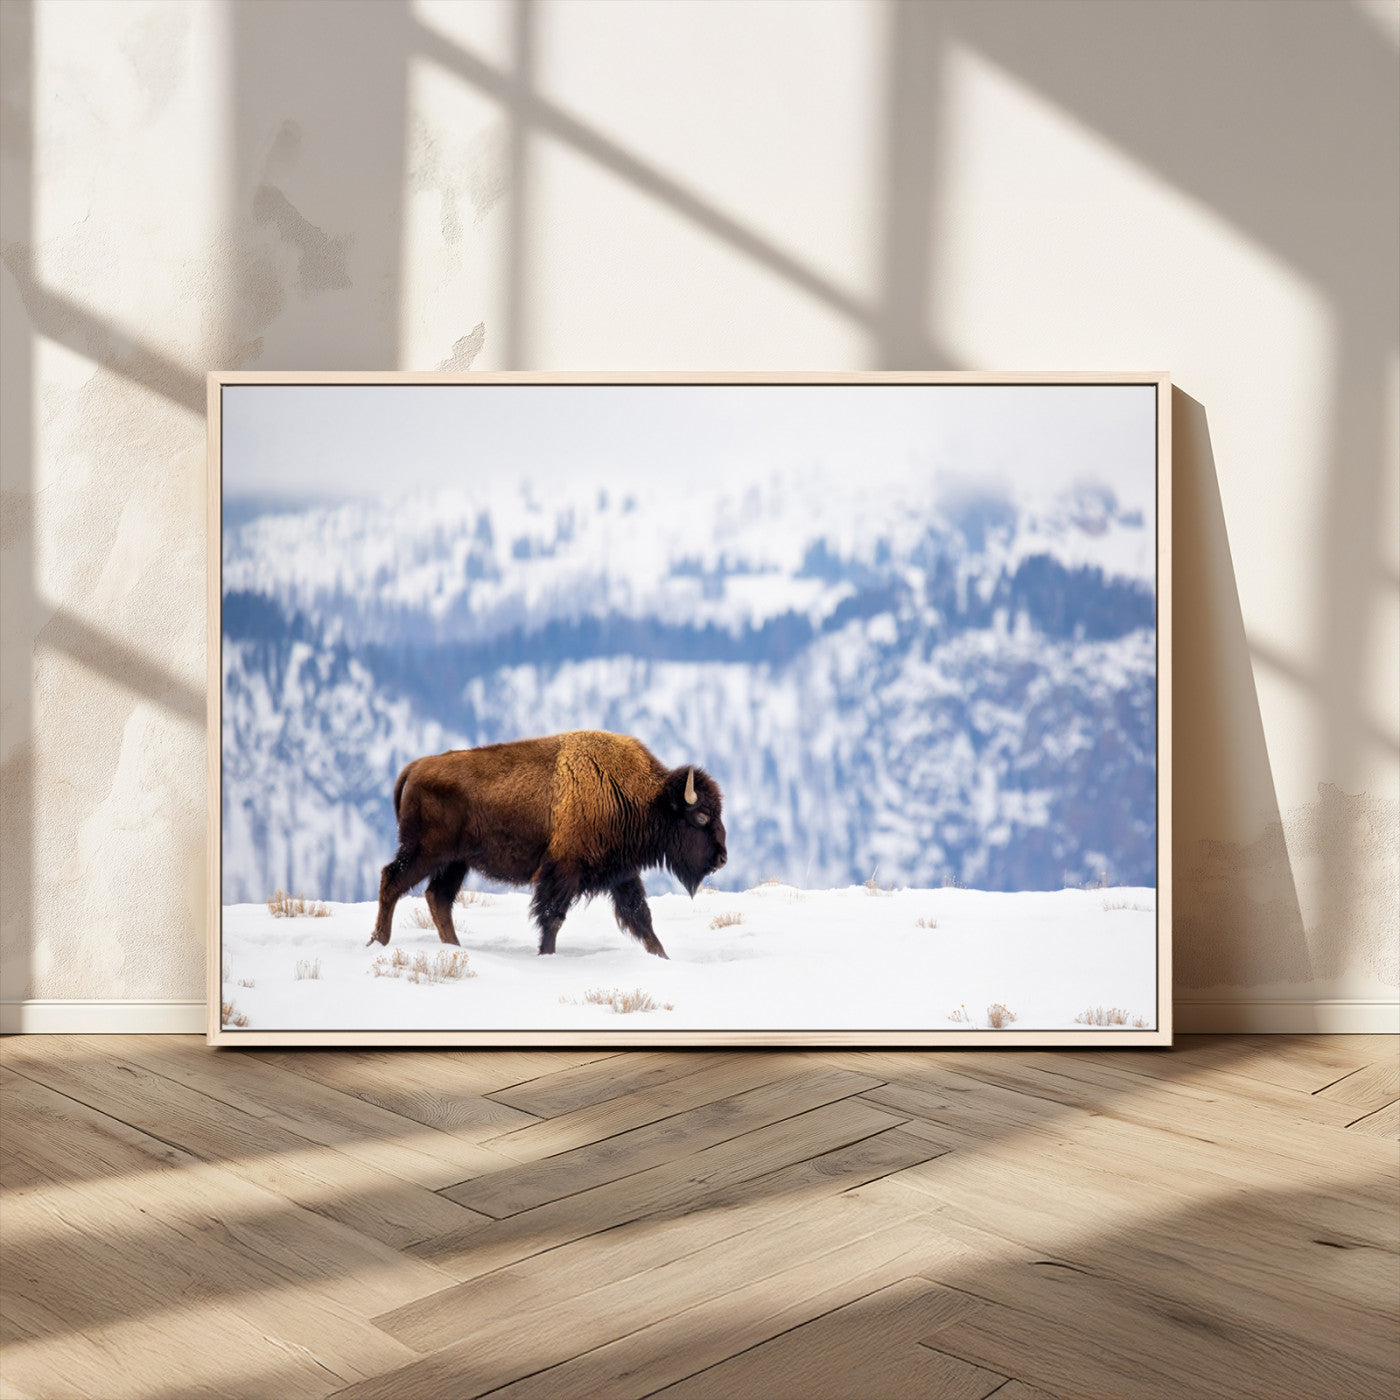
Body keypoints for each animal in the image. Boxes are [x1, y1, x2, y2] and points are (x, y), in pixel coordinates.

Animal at [370, 730, 727, 958]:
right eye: (701, 817)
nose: (722, 858)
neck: (638, 795)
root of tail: (415, 767)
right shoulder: (562, 873)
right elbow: (552, 917)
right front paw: (546, 956)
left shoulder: (622, 874)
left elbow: (641, 918)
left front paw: (663, 958)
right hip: (425, 852)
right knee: (393, 880)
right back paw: (379, 942)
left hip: (455, 862)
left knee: (438, 897)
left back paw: (453, 947)